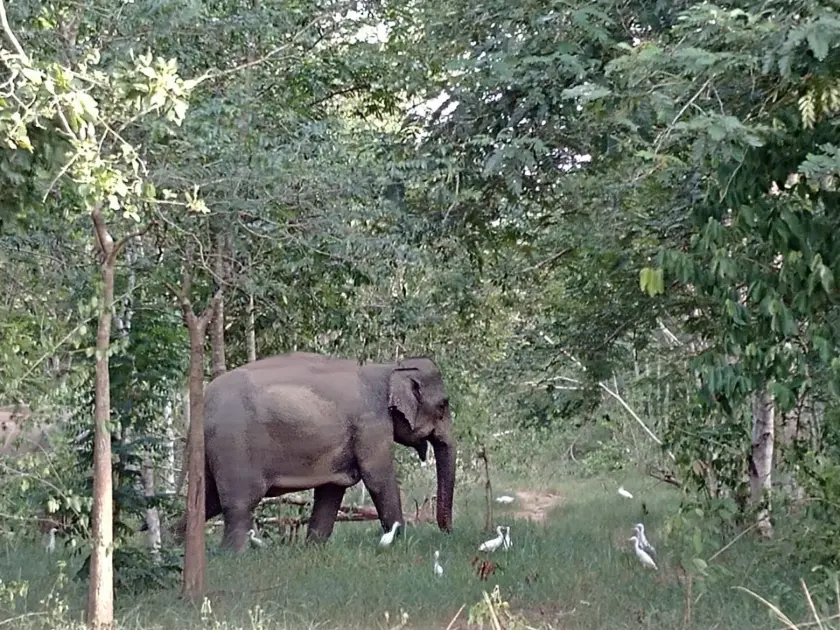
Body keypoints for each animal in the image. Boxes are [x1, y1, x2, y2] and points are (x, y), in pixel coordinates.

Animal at [173, 352, 456, 552]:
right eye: (443, 405)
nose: (448, 533)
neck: (389, 368)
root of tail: (203, 400)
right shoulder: (371, 425)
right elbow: (377, 478)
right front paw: (400, 544)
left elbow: (332, 490)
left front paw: (314, 550)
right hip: (234, 445)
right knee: (239, 503)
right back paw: (233, 555)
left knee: (206, 501)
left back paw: (173, 547)